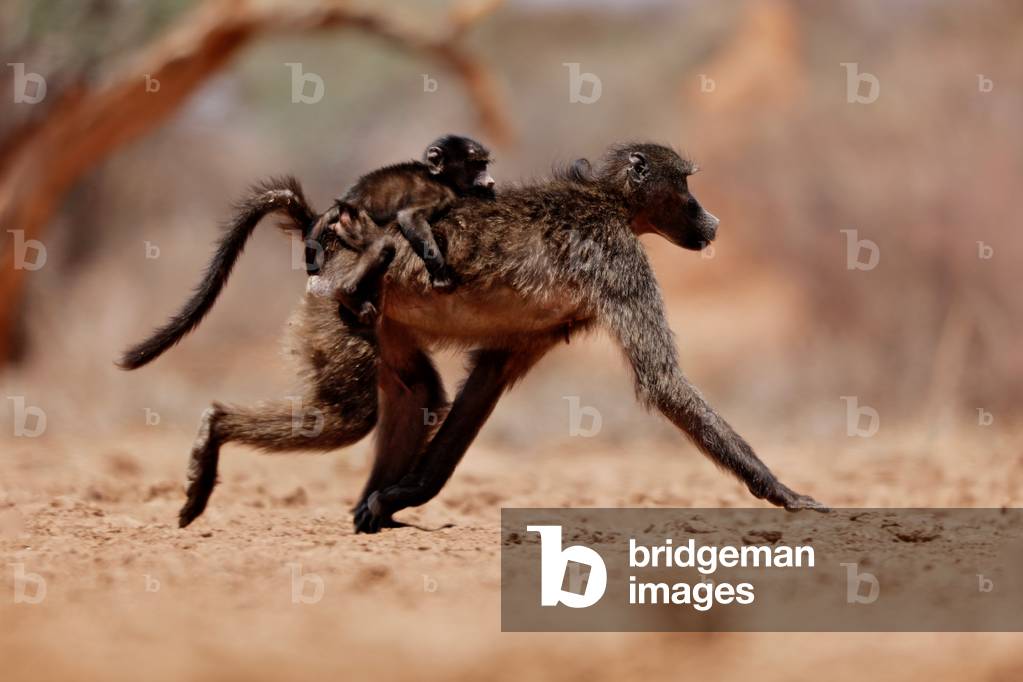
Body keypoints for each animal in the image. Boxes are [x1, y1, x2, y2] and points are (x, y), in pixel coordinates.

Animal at [305, 134, 496, 325]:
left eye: (484, 164)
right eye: (475, 165)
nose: (490, 181)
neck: (442, 179)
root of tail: (343, 203)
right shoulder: (439, 195)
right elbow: (409, 217)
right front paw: (442, 276)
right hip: (354, 220)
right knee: (382, 244)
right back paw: (345, 291)